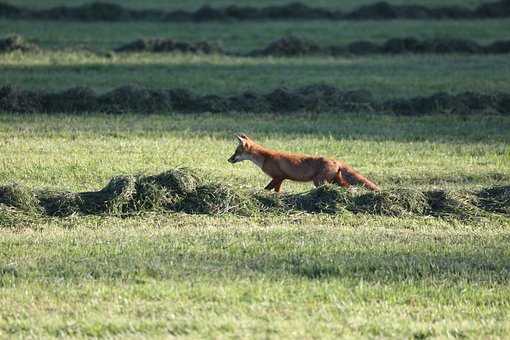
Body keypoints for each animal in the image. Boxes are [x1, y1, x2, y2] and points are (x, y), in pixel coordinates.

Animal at [227, 134, 378, 193]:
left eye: (236, 152)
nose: (228, 160)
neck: (265, 157)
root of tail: (336, 160)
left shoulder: (278, 176)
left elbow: (267, 189)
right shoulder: (280, 179)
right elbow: (276, 191)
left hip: (319, 181)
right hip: (335, 180)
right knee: (348, 187)